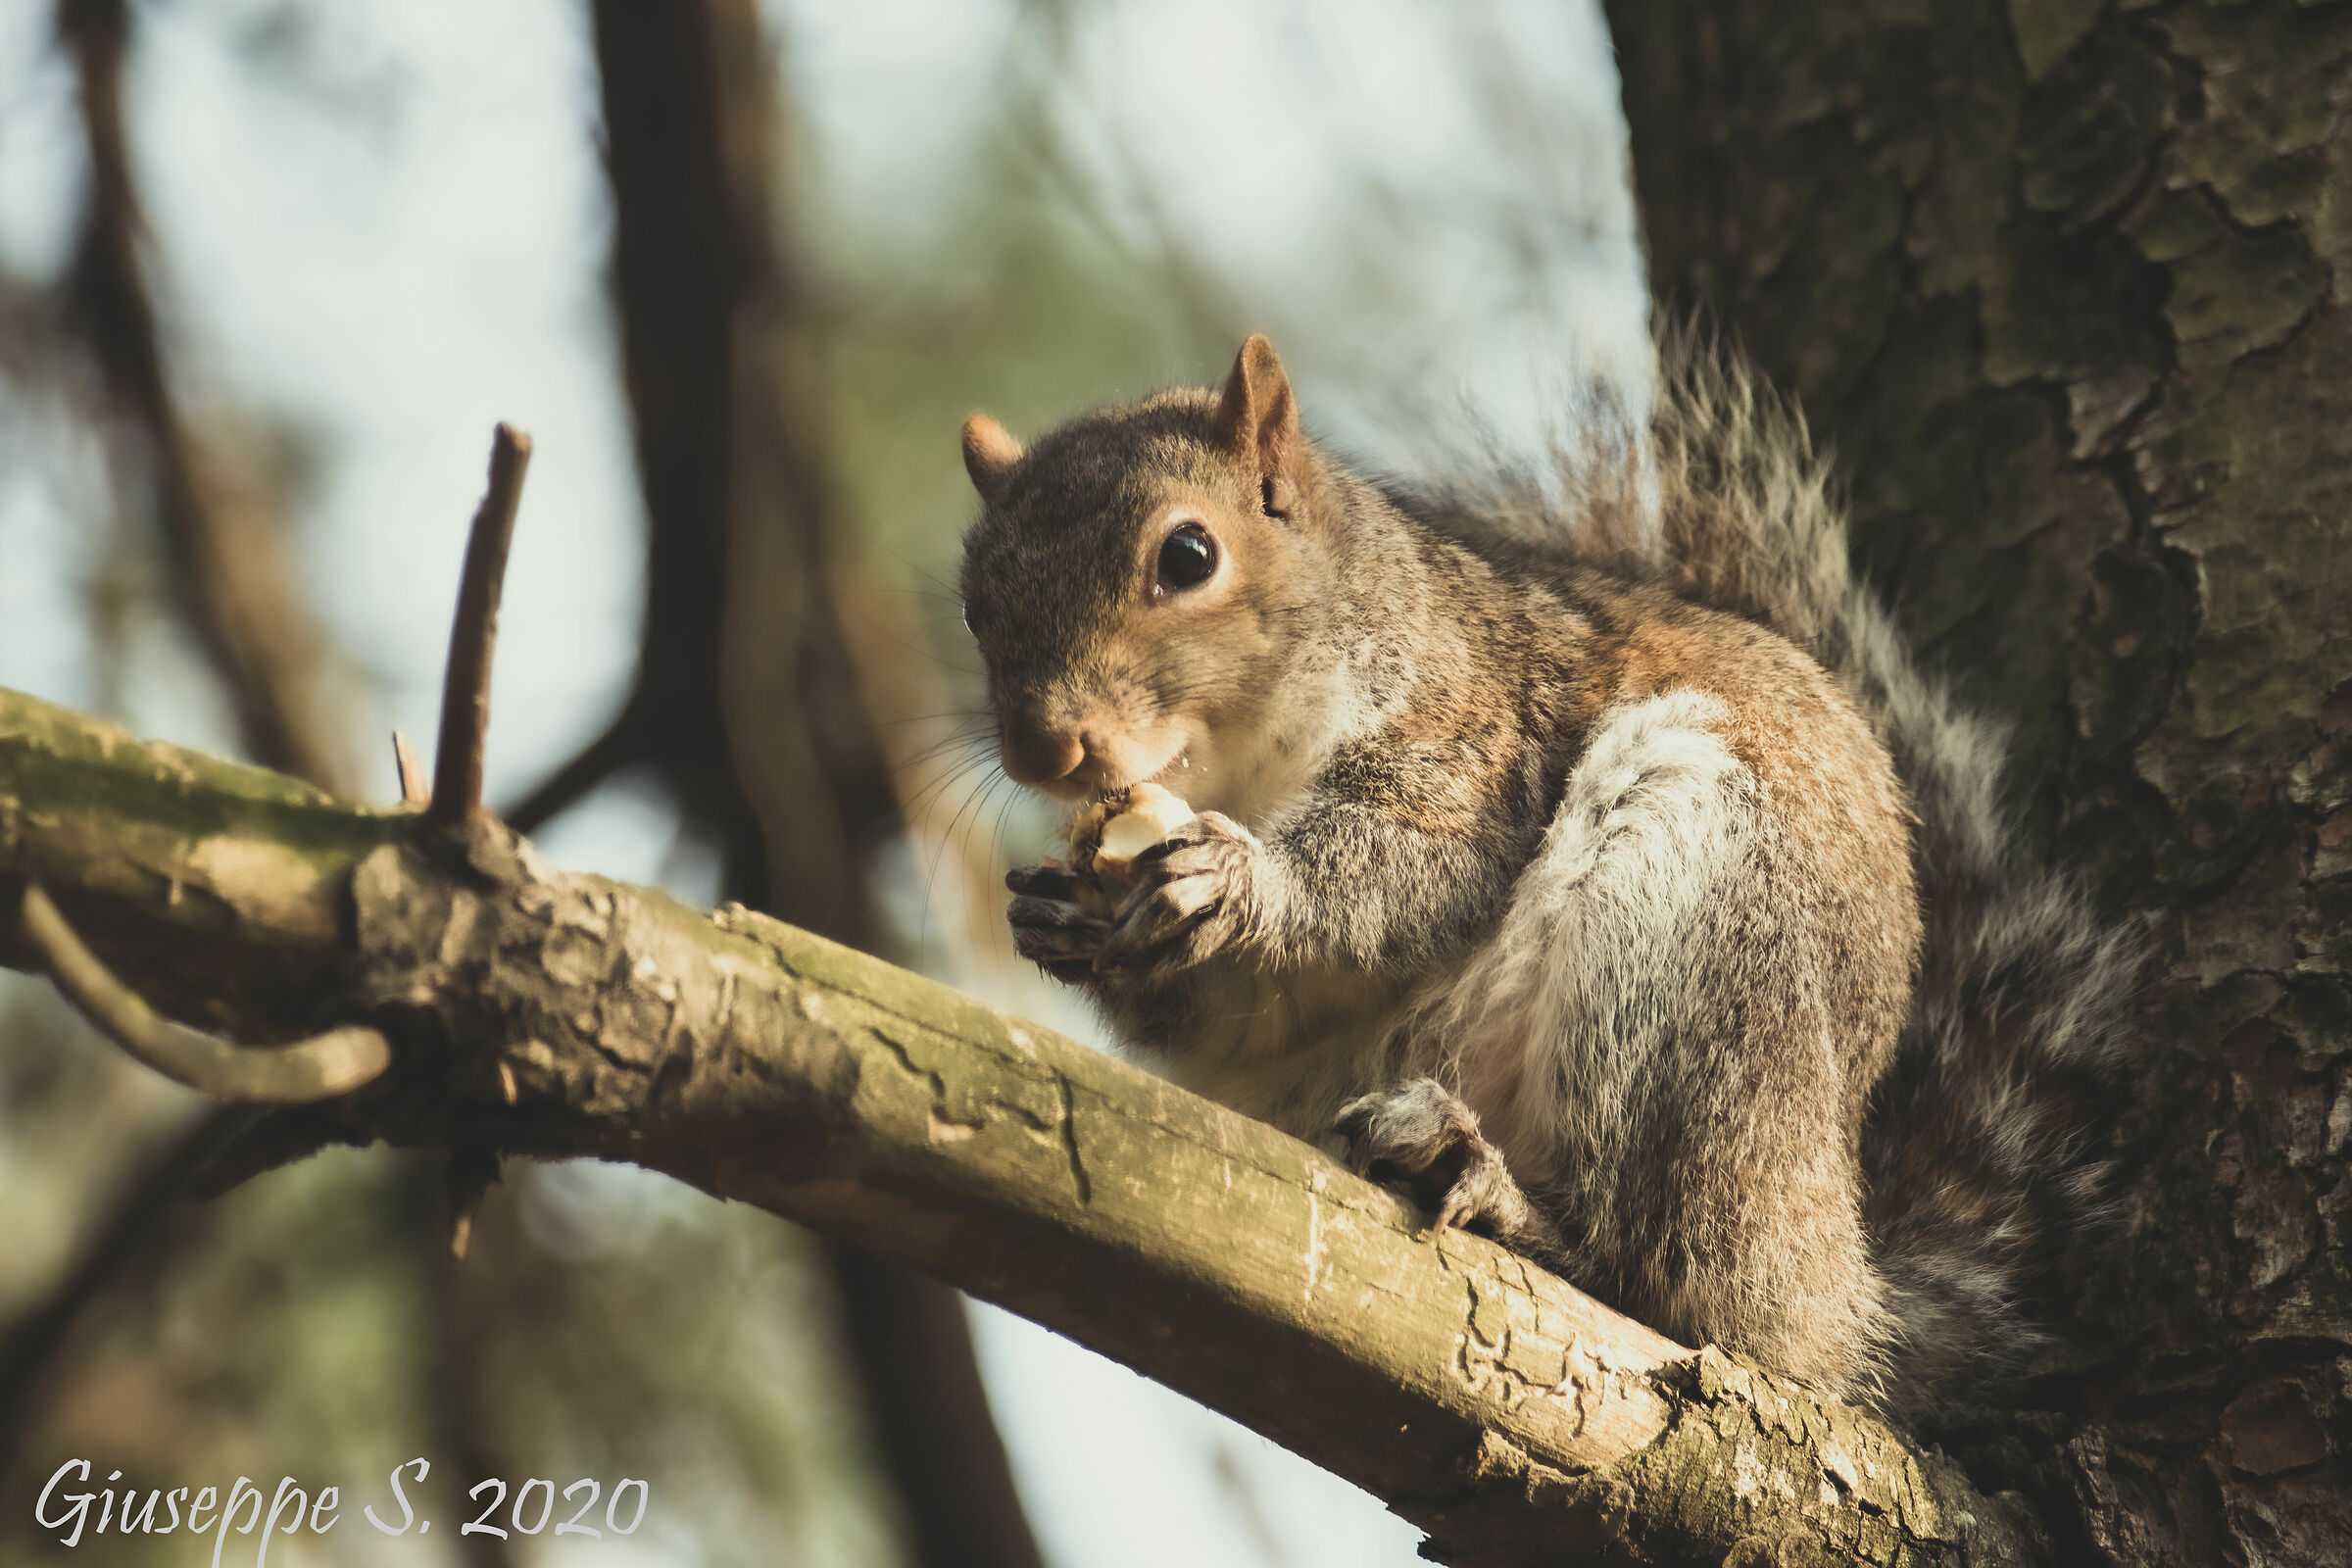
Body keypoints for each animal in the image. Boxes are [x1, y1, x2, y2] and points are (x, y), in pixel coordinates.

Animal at [955, 330, 2135, 1417]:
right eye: (976, 601)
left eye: (1190, 555)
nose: (1049, 750)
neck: (1231, 763)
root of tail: (1836, 1283)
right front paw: (1061, 917)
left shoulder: (1474, 733)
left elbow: (1411, 868)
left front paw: (1239, 879)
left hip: (1700, 966)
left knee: (1669, 1278)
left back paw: (1503, 1196)